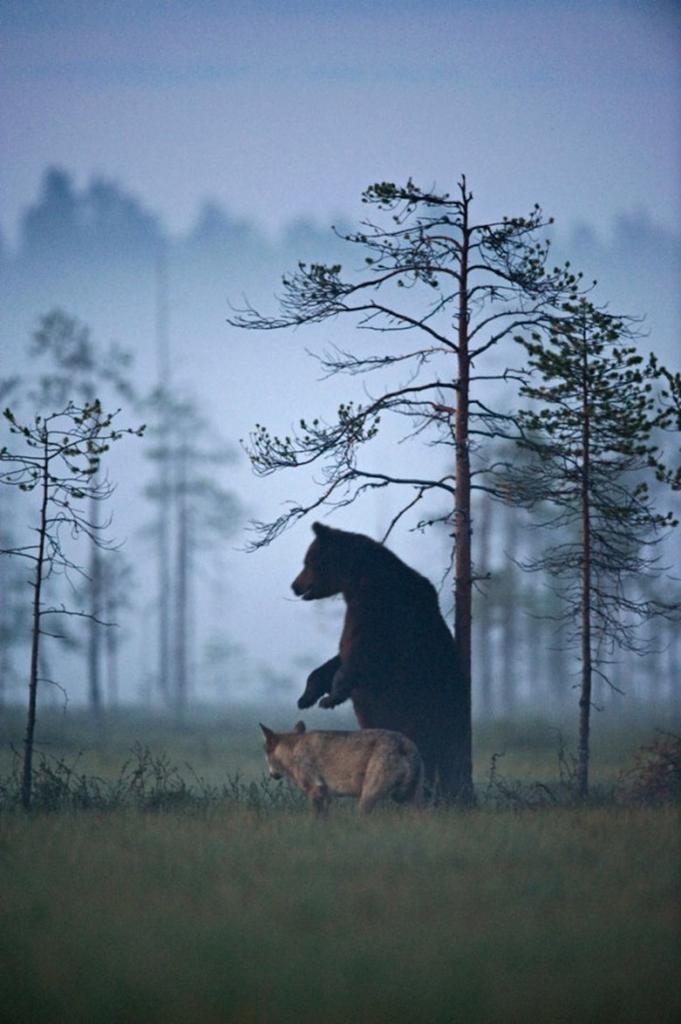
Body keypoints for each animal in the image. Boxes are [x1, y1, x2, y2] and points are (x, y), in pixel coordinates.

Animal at [259, 721, 424, 815]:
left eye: (265, 754)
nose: (272, 775)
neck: (293, 750)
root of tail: (405, 744)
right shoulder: (326, 795)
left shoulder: (315, 790)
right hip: (409, 800)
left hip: (367, 799)